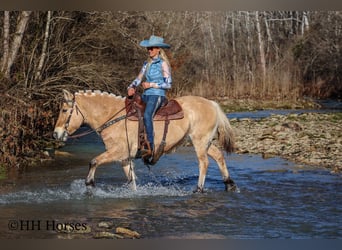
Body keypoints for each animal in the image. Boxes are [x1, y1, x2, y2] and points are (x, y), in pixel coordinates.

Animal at [52, 89, 238, 192]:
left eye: (64, 110)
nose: (56, 134)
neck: (113, 117)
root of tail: (212, 103)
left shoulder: (118, 152)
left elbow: (94, 161)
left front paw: (90, 184)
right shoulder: (125, 158)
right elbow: (131, 180)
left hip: (199, 141)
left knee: (204, 162)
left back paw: (199, 189)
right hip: (205, 142)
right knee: (218, 156)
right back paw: (229, 184)